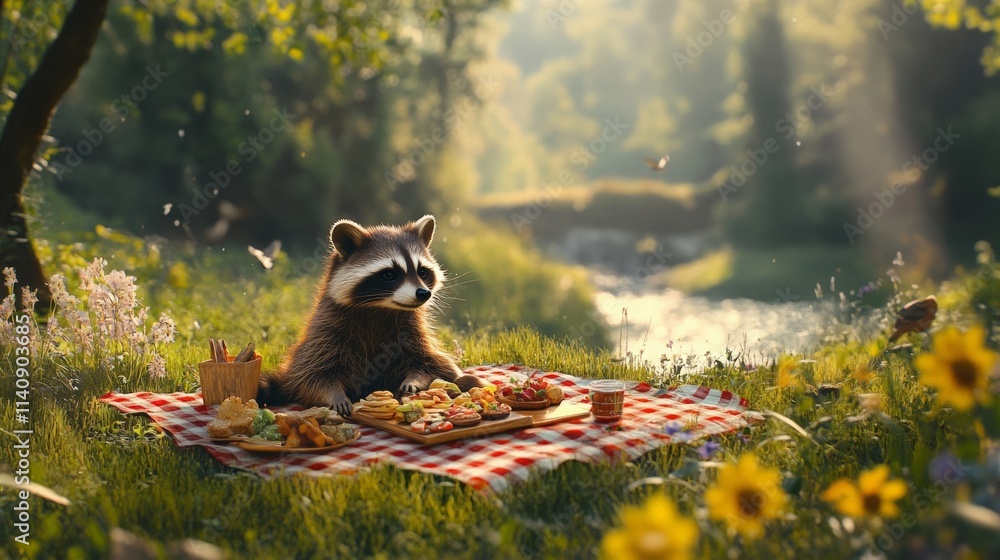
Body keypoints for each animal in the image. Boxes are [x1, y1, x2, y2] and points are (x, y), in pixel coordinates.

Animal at [257, 215, 482, 416]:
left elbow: (434, 363)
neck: (382, 309)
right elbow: (312, 374)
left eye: (422, 272)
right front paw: (334, 395)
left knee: (463, 378)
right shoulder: (326, 332)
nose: (423, 293)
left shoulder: (411, 333)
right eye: (389, 274)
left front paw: (415, 380)